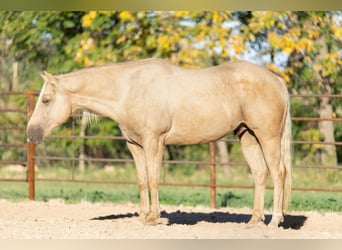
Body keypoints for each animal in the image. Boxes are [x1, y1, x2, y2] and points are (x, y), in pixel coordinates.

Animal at [26, 58, 292, 227]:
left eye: (46, 100)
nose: (31, 133)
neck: (128, 89)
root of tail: (277, 81)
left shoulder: (154, 141)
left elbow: (153, 178)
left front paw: (155, 217)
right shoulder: (135, 145)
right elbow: (143, 180)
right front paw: (143, 217)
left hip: (267, 137)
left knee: (278, 172)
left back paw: (275, 220)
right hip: (248, 136)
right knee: (260, 174)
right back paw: (254, 220)